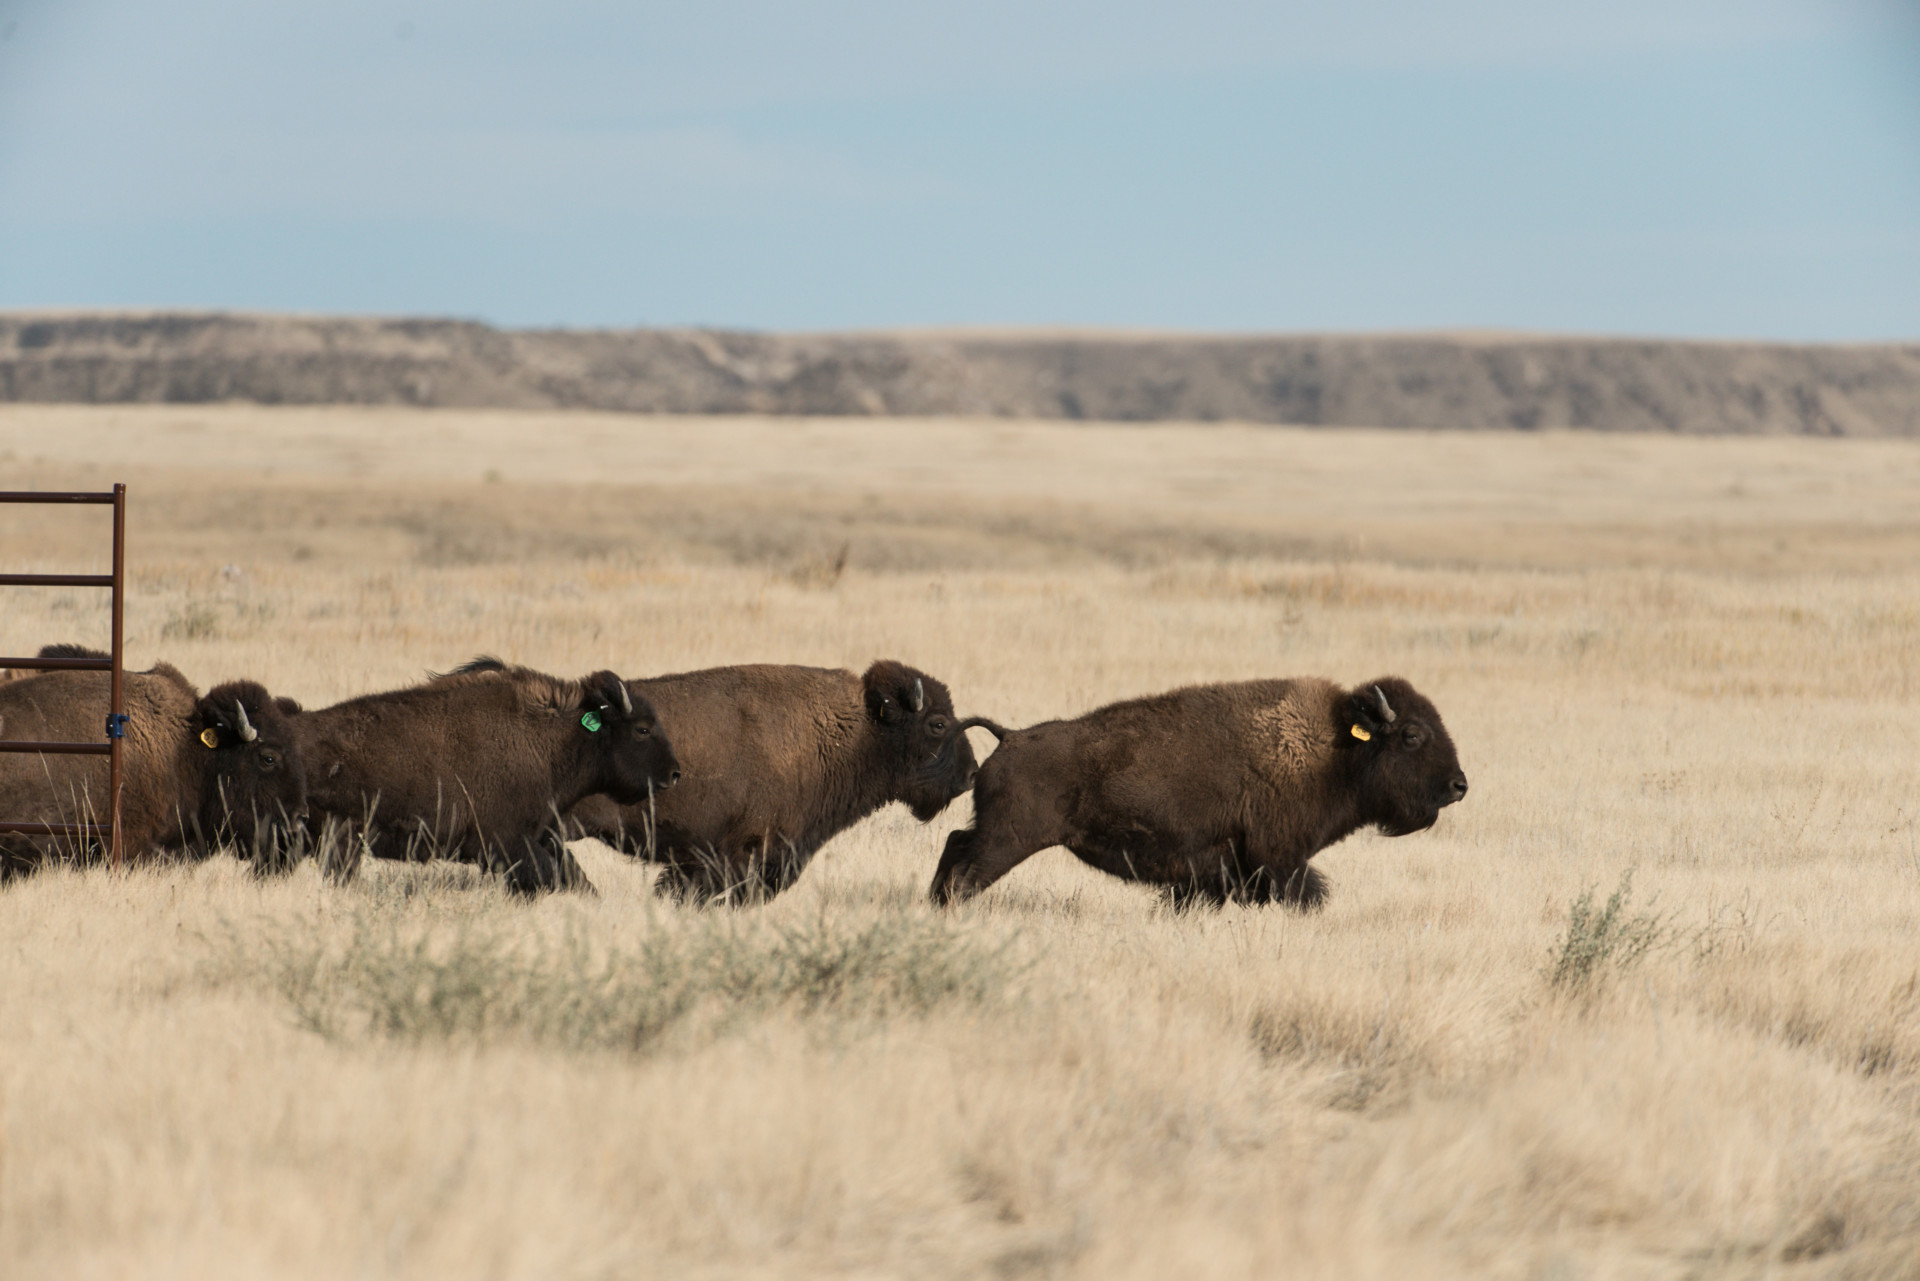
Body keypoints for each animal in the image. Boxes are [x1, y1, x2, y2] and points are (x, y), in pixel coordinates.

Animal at [930, 676, 1467, 909]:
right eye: (1412, 735)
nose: (1458, 786)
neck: (1337, 750)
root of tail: (1010, 736)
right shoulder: (1279, 857)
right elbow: (1304, 893)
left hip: (995, 833)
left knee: (955, 844)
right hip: (1009, 840)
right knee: (967, 872)